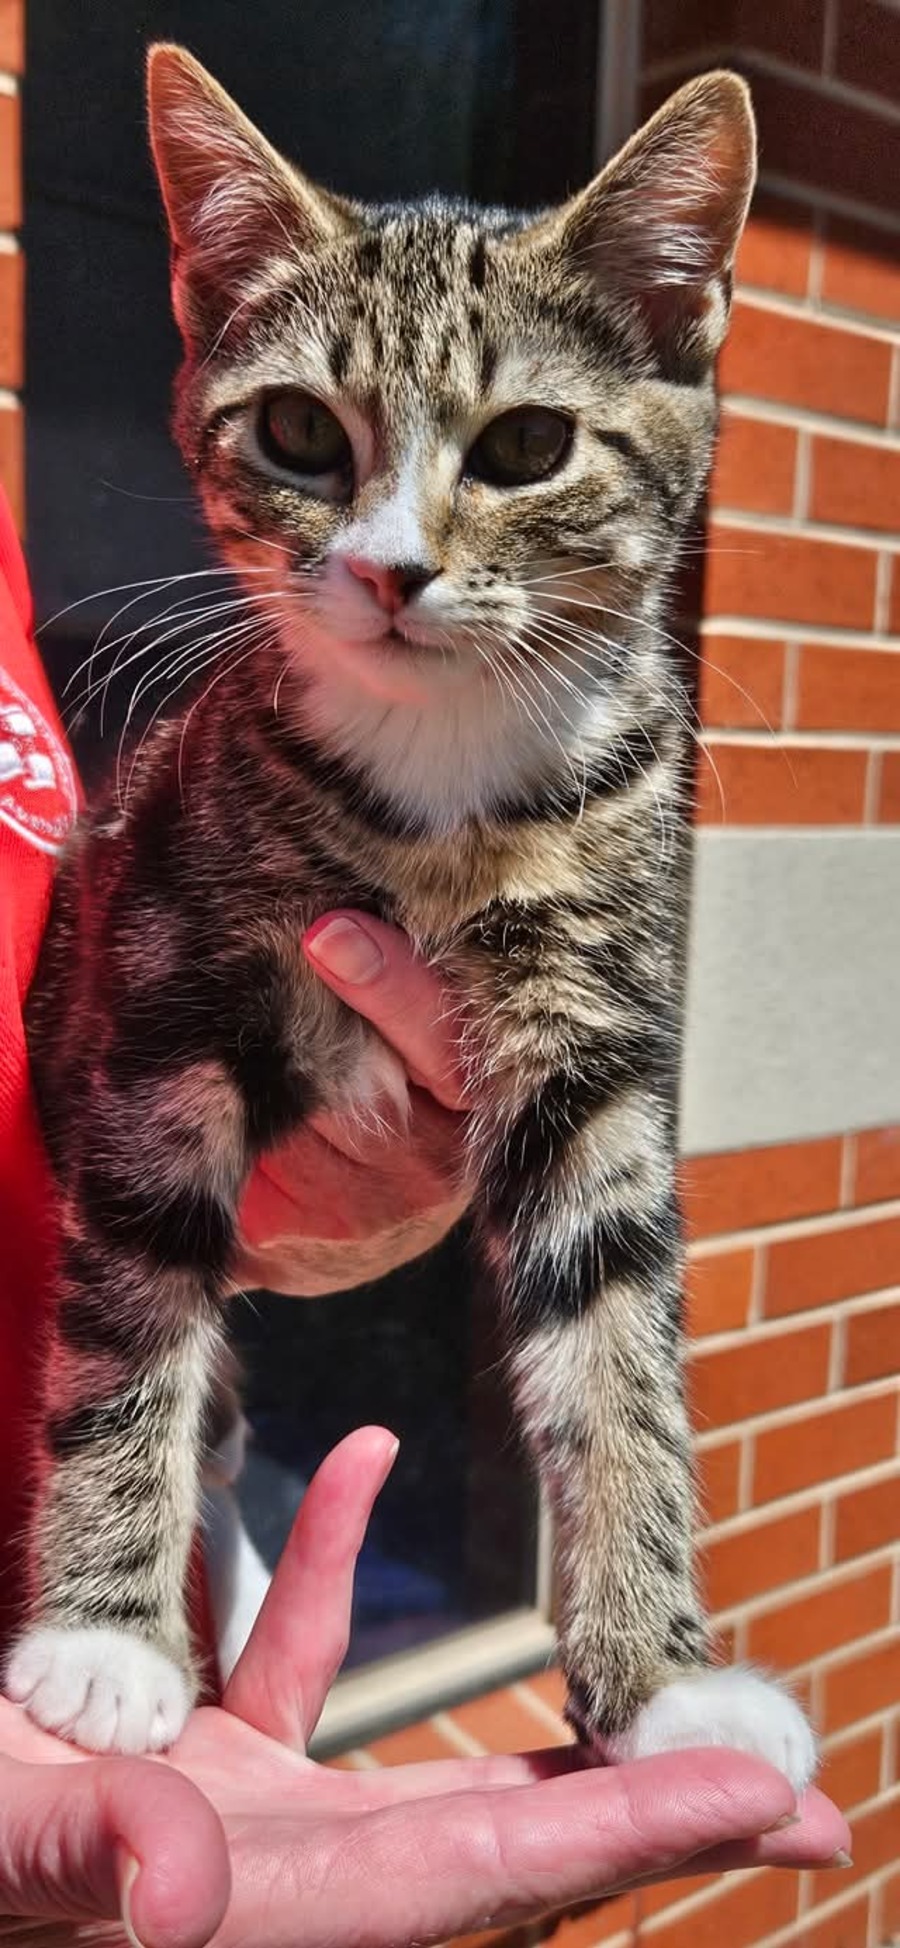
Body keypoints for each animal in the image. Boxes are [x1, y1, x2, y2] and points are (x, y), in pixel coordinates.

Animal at [5, 45, 816, 1788]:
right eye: (300, 429)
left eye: (526, 447)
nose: (391, 571)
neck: (441, 786)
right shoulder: (158, 1007)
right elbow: (131, 1315)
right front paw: (104, 1641)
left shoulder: (592, 1035)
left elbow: (615, 1332)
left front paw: (663, 1681)